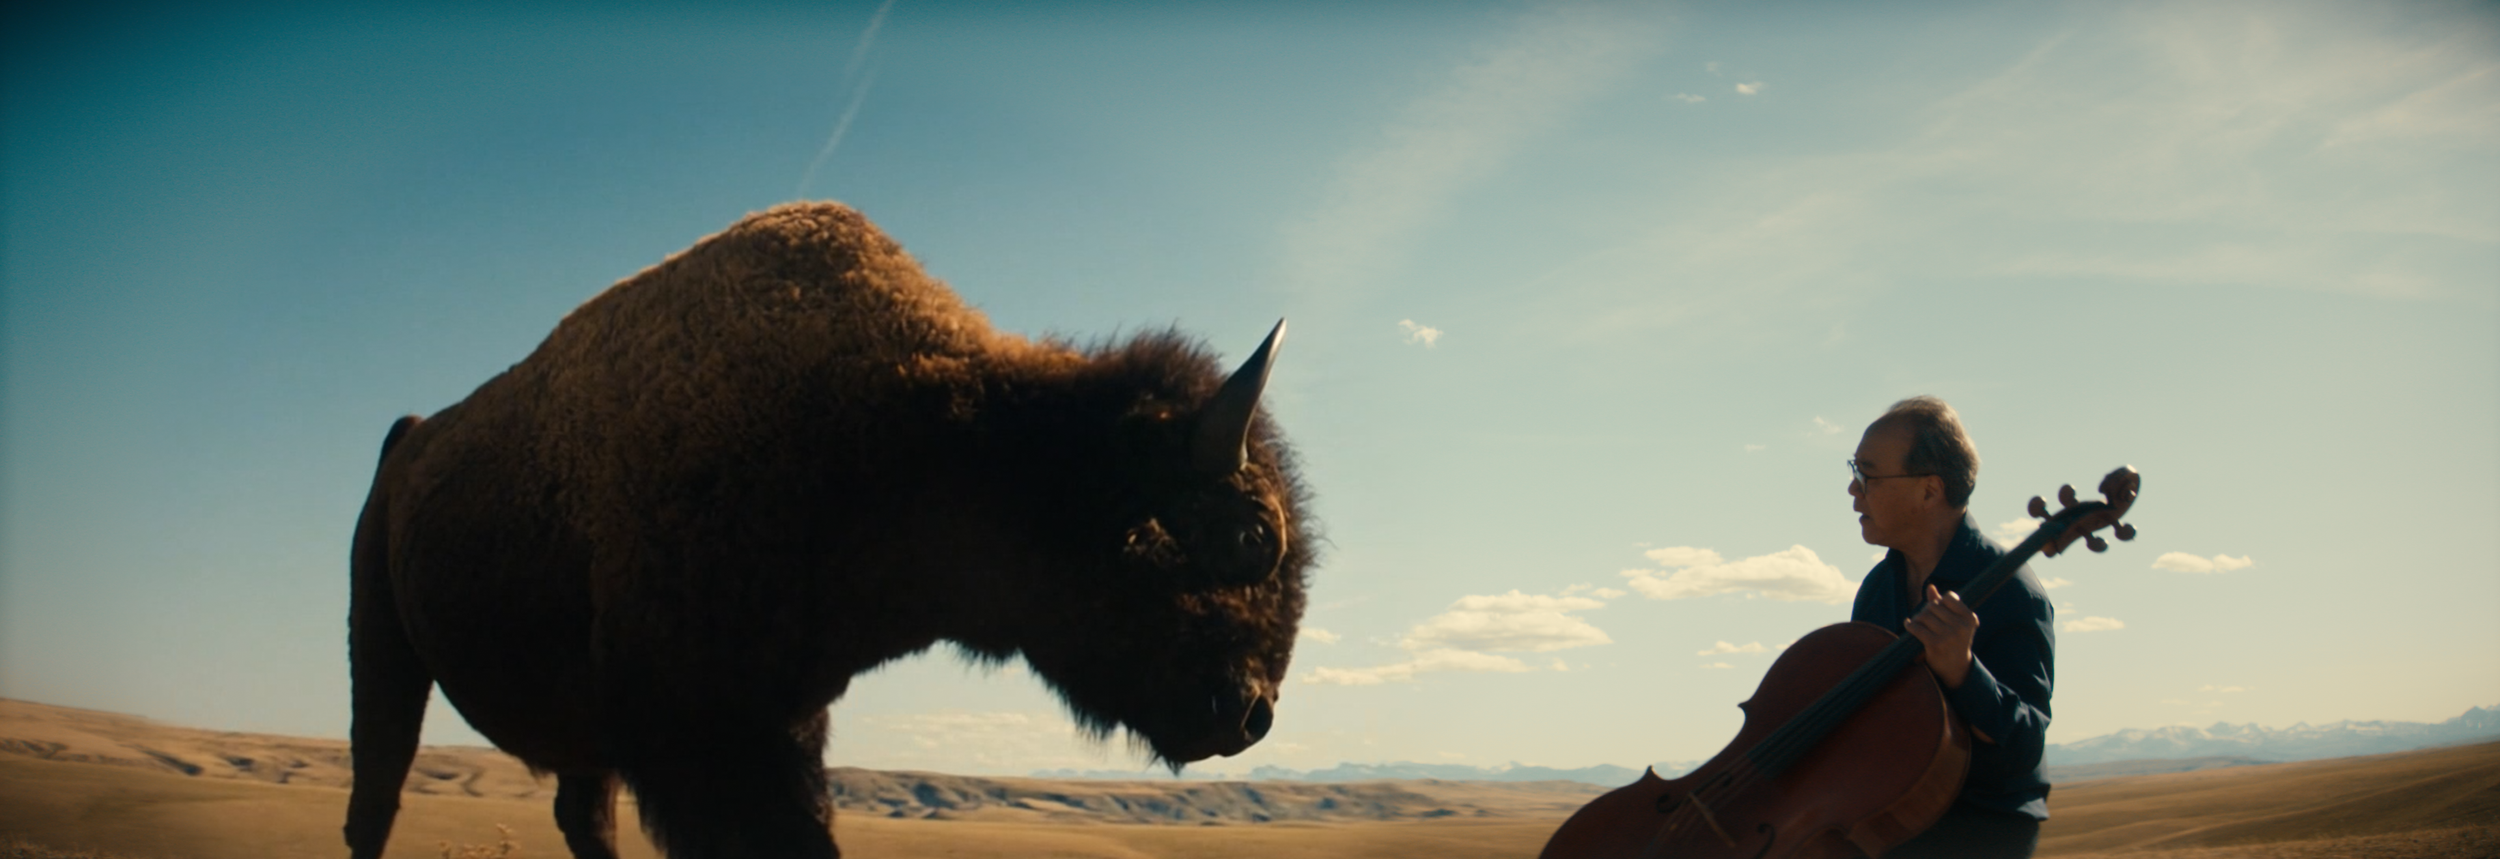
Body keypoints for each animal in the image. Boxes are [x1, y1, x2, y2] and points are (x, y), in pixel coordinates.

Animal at [345, 202, 1315, 859]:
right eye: (1249, 536)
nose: (1255, 713)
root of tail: (411, 437)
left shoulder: (779, 718)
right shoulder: (706, 733)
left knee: (577, 819)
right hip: (382, 646)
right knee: (376, 797)